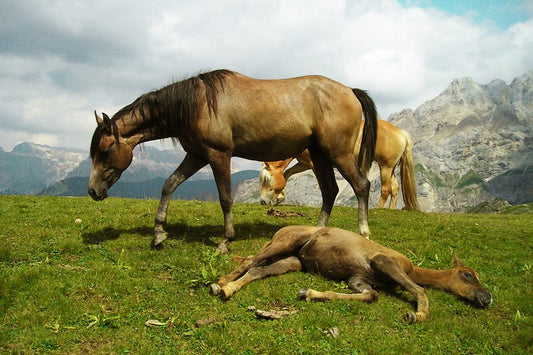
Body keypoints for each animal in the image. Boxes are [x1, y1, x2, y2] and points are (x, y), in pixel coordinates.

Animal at [88, 70, 378, 253]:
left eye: (105, 151)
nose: (92, 191)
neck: (198, 103)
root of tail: (350, 91)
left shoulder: (219, 155)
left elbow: (226, 198)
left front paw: (225, 241)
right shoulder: (196, 156)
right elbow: (169, 184)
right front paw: (159, 232)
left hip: (337, 153)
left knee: (361, 185)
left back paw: (363, 231)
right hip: (319, 154)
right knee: (330, 190)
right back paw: (315, 232)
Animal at [210, 227, 492, 324]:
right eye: (468, 275)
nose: (487, 297)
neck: (412, 268)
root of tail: (279, 230)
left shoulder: (357, 279)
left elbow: (371, 296)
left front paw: (308, 293)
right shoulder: (383, 261)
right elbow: (419, 289)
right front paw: (418, 314)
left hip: (293, 261)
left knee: (258, 268)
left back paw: (228, 288)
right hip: (286, 242)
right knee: (251, 260)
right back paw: (220, 283)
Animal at [260, 119, 418, 210]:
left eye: (267, 180)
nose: (262, 201)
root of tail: (401, 132)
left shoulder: (313, 164)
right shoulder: (303, 163)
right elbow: (287, 174)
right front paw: (280, 197)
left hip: (385, 167)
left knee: (386, 189)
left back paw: (377, 209)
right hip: (390, 168)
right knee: (395, 189)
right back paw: (389, 210)